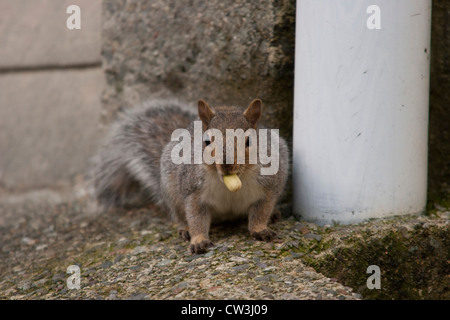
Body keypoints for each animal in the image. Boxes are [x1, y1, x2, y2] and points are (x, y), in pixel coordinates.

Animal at [92, 99, 288, 254]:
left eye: (248, 141)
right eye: (207, 141)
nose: (226, 165)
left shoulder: (270, 187)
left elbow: (261, 212)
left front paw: (260, 229)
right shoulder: (193, 191)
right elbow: (196, 217)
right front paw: (198, 240)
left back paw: (274, 214)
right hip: (172, 192)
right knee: (180, 215)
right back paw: (185, 229)